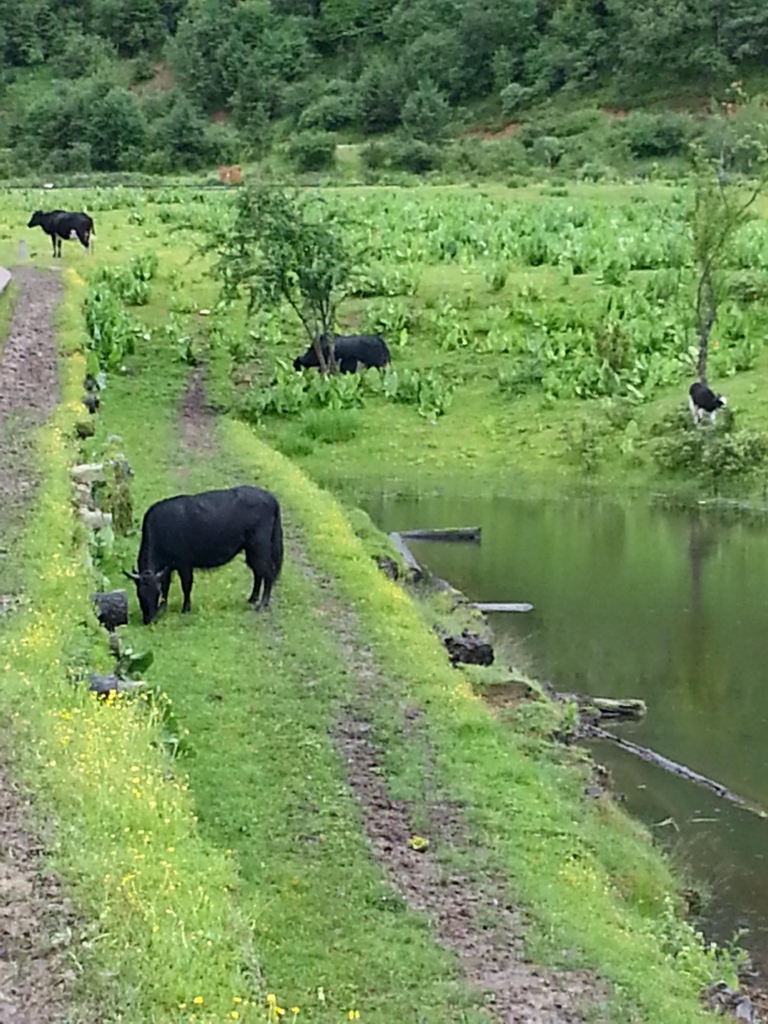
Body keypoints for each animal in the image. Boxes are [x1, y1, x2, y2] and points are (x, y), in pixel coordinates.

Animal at [124, 485, 284, 622]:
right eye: (139, 594)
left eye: (155, 594)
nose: (149, 620)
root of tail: (271, 497)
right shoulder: (167, 568)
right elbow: (166, 586)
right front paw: (163, 608)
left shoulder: (184, 564)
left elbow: (186, 586)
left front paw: (186, 609)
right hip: (251, 550)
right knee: (258, 572)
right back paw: (252, 599)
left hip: (260, 548)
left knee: (268, 572)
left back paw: (262, 604)